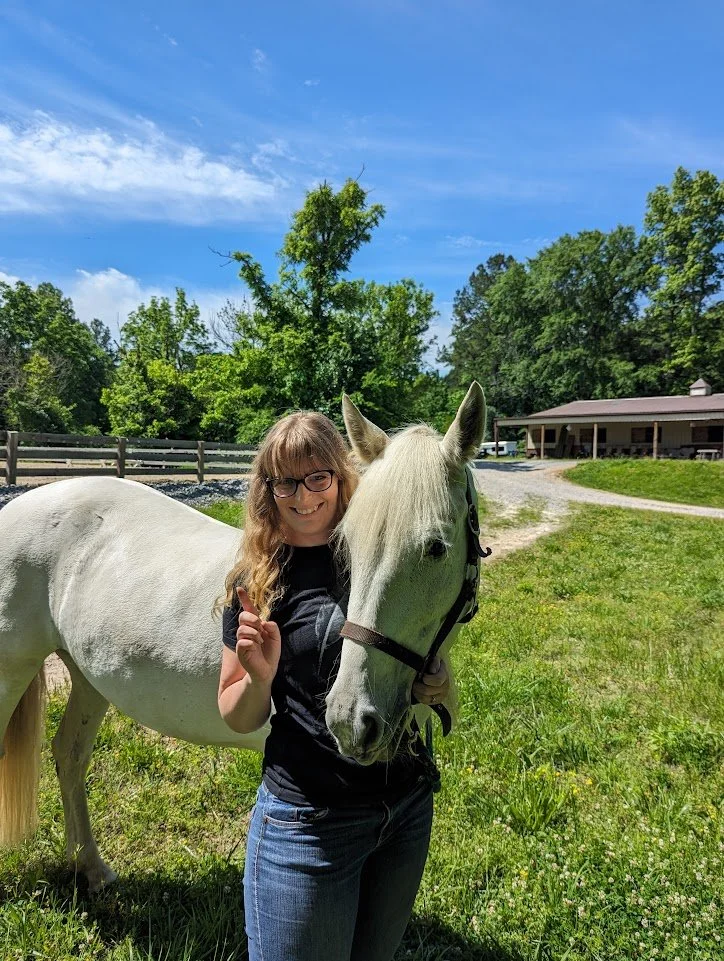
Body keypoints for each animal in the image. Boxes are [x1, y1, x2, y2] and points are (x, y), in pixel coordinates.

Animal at [0, 383, 485, 891]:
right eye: (347, 544)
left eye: (435, 548)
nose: (350, 720)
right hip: (11, 671)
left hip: (89, 677)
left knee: (69, 755)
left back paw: (92, 869)